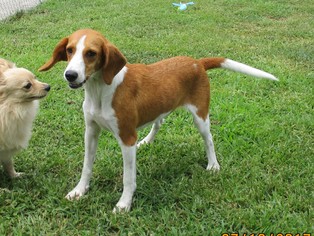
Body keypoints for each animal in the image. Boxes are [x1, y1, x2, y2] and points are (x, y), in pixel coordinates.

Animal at [39, 28, 278, 212]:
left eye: (91, 53)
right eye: (69, 50)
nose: (70, 75)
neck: (101, 90)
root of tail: (197, 62)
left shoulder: (127, 138)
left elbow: (128, 178)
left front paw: (124, 204)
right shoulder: (91, 131)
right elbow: (86, 166)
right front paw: (79, 191)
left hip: (200, 116)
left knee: (209, 139)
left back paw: (213, 165)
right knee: (159, 122)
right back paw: (146, 141)